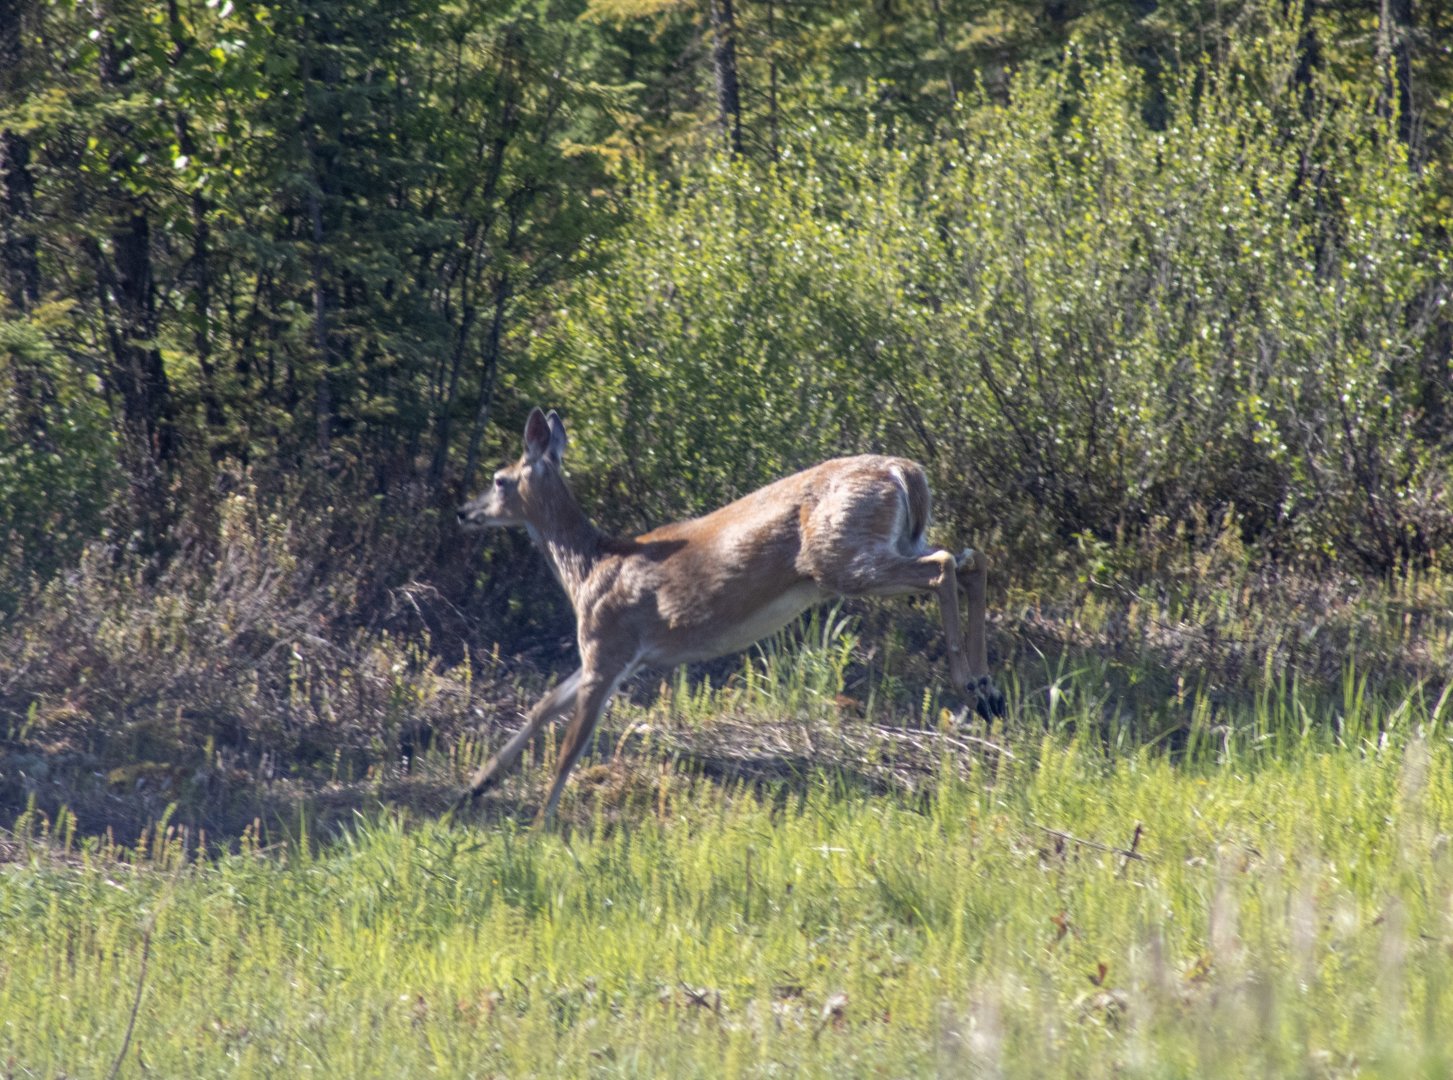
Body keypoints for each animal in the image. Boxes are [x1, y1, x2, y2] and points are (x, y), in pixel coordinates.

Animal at [455, 407, 1004, 824]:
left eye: (499, 479)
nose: (464, 511)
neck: (589, 568)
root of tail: (905, 473)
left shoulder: (608, 647)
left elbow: (572, 743)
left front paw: (540, 824)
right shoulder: (612, 656)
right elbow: (544, 704)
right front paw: (478, 784)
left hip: (844, 557)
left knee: (944, 566)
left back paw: (970, 685)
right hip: (890, 542)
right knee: (971, 560)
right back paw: (988, 690)